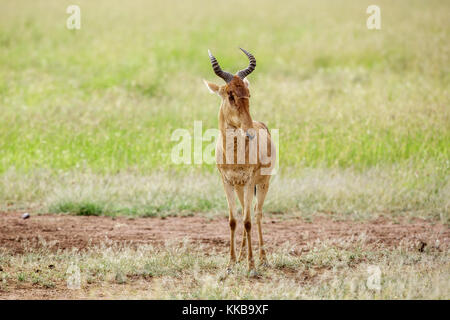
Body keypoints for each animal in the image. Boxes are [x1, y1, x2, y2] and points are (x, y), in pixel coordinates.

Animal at [203, 48, 274, 276]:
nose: (250, 131)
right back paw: (242, 255)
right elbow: (234, 220)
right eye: (230, 94)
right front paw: (231, 264)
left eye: (248, 94)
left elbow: (248, 222)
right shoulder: (227, 182)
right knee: (244, 213)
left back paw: (263, 259)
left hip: (262, 184)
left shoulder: (251, 181)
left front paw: (251, 266)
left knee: (257, 214)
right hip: (240, 188)